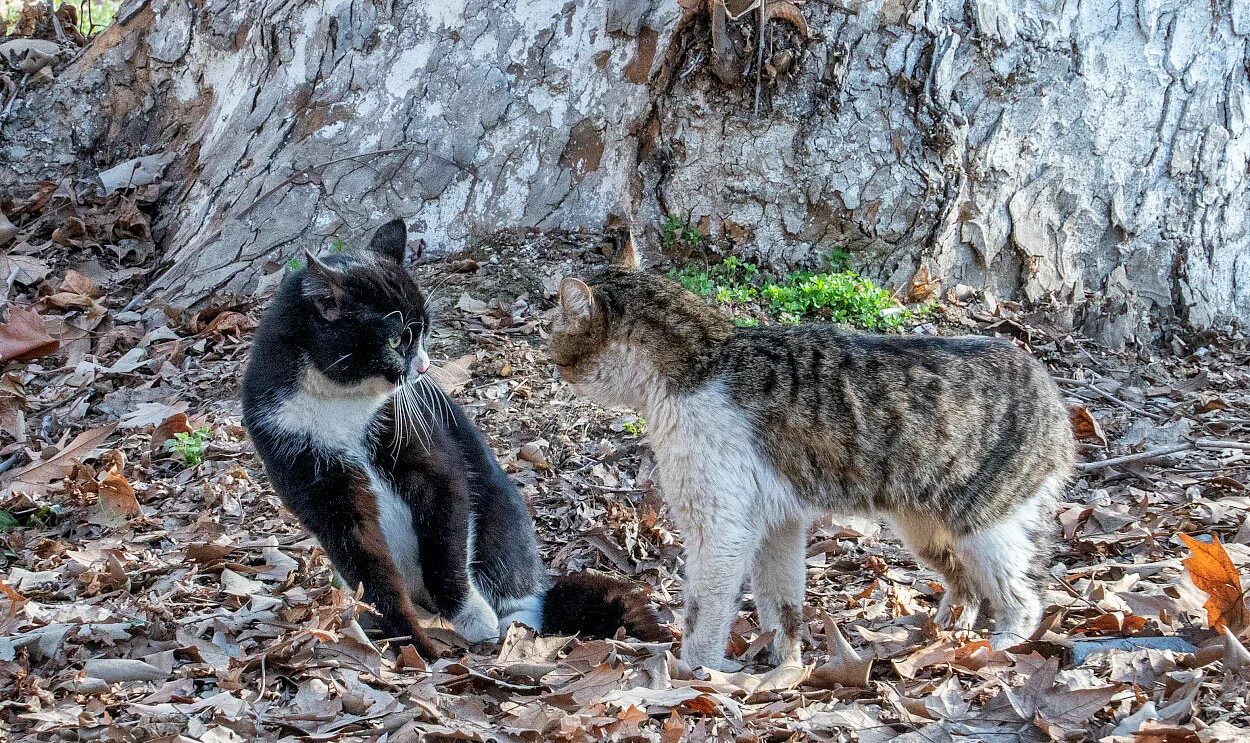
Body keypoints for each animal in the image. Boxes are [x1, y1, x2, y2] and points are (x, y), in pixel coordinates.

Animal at [245, 218, 675, 655]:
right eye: (396, 339)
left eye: (425, 331)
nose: (423, 367)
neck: (342, 404)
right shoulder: (305, 467)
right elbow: (365, 564)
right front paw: (410, 643)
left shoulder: (424, 443)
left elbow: (446, 535)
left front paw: (472, 616)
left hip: (503, 528)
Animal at [552, 248, 1080, 665]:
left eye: (554, 334)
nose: (550, 361)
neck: (705, 360)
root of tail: (1050, 389)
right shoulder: (778, 525)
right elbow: (782, 607)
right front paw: (784, 665)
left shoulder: (721, 530)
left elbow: (704, 614)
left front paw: (693, 673)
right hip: (926, 531)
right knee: (966, 585)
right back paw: (948, 628)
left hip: (986, 528)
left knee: (1025, 596)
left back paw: (1000, 645)